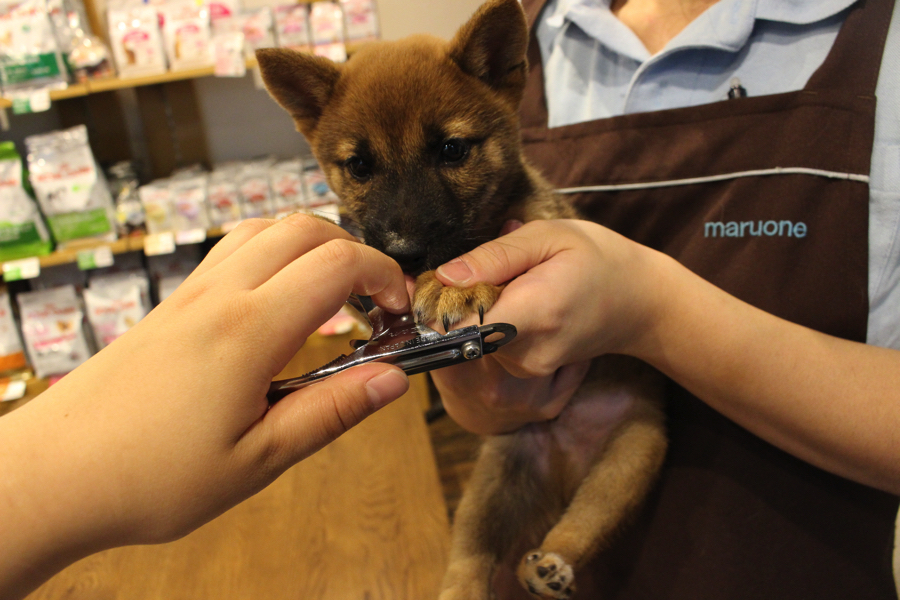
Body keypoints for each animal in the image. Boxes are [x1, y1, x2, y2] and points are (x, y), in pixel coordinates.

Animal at [253, 2, 668, 596]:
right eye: (359, 166)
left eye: (452, 150)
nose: (402, 253)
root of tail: (565, 468)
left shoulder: (542, 224)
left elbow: (492, 248)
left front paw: (457, 284)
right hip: (491, 485)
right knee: (471, 557)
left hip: (633, 455)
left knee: (588, 520)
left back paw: (554, 560)